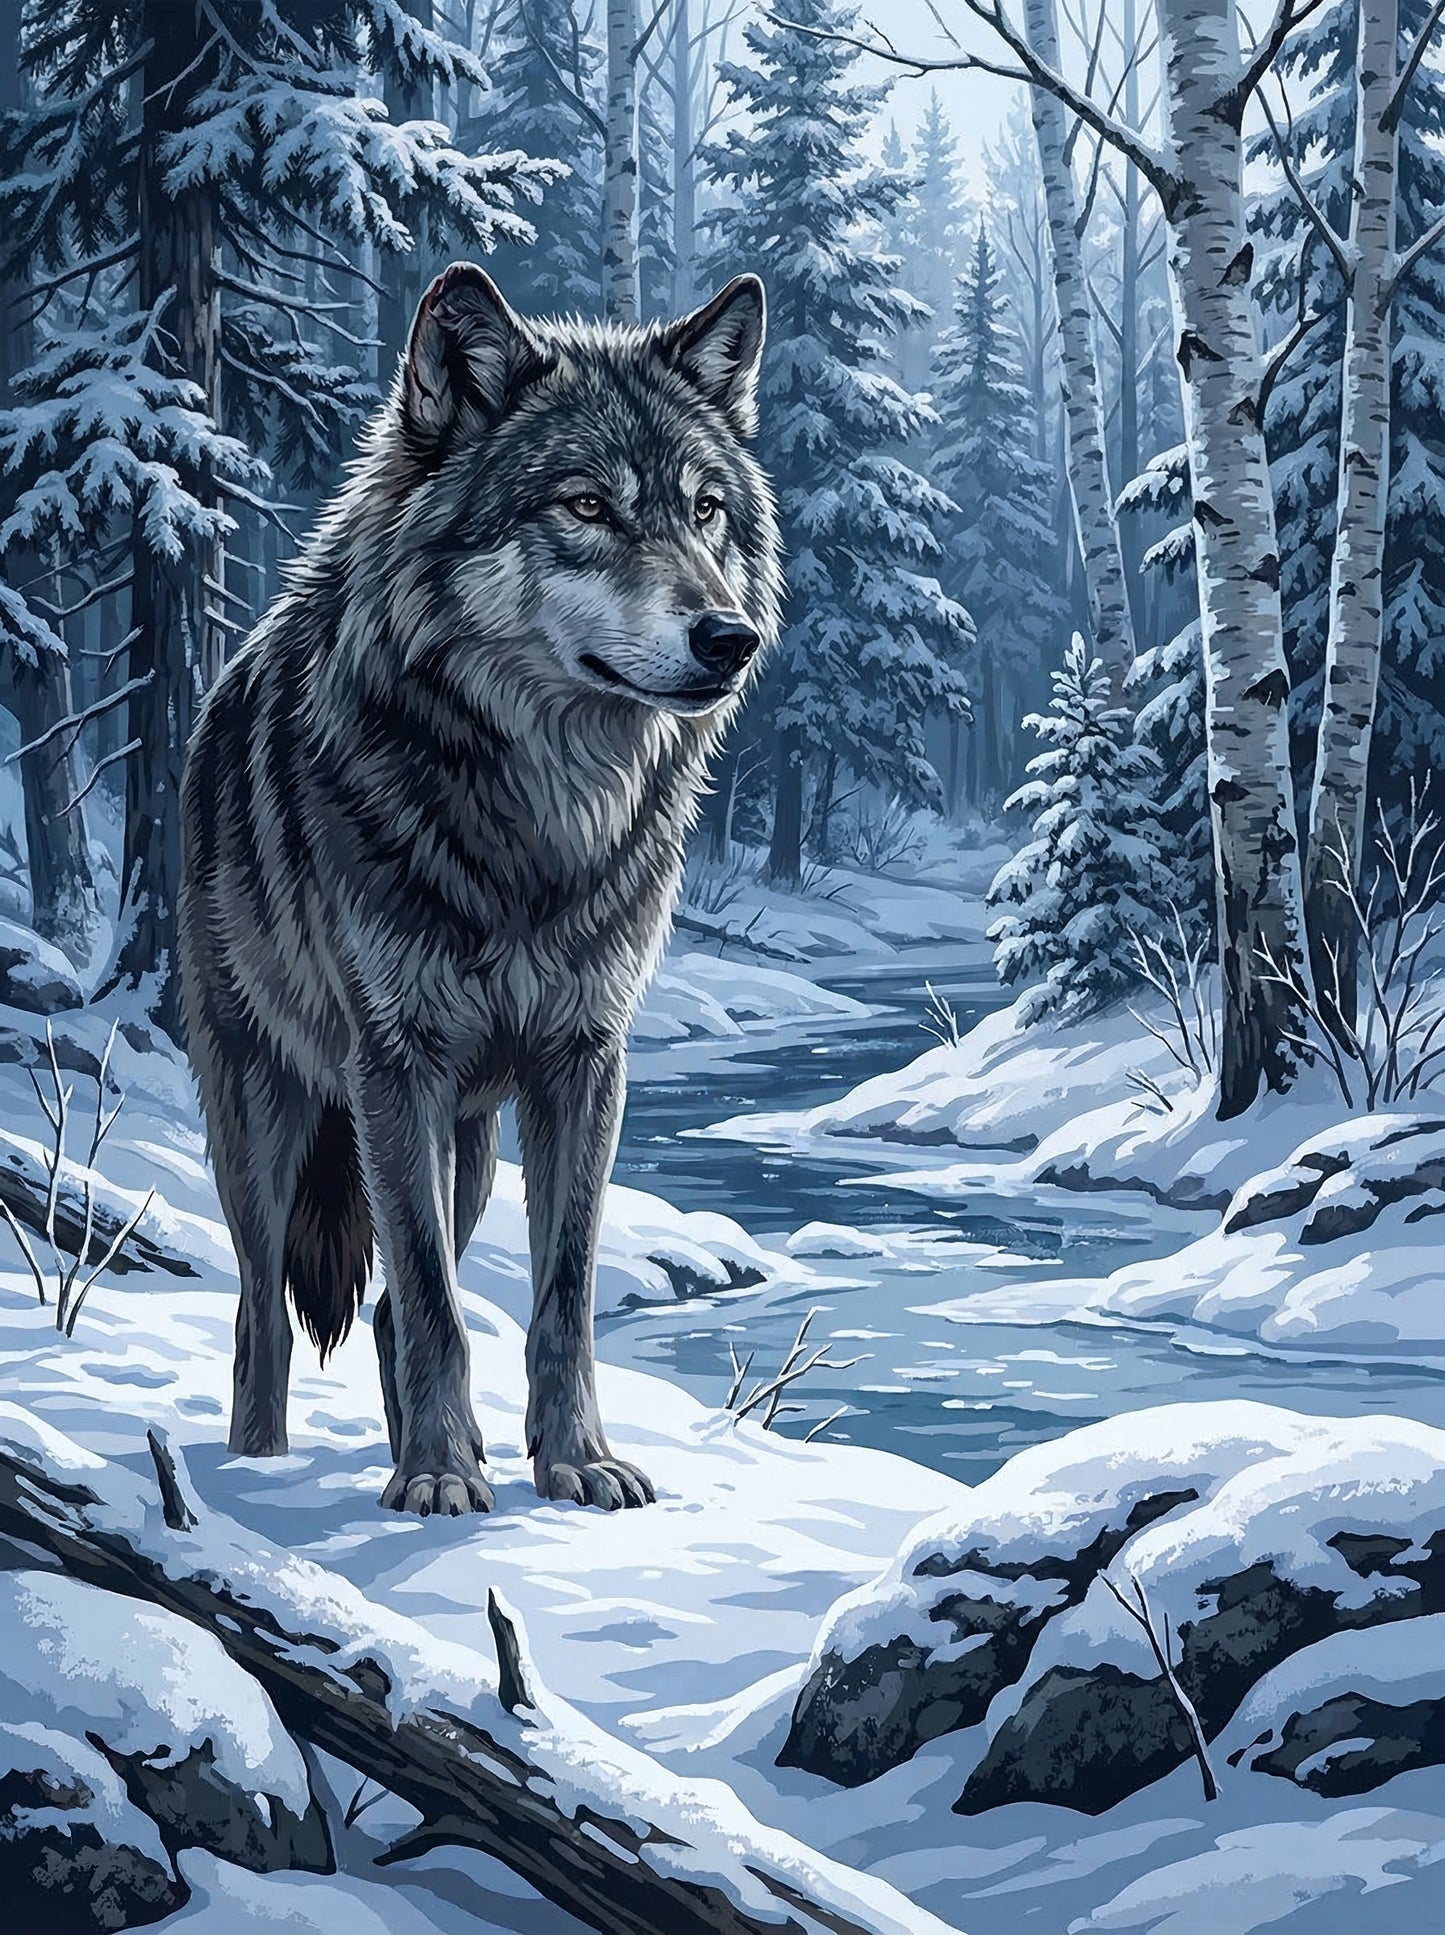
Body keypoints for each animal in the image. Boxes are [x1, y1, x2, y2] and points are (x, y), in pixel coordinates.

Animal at [177, 266, 781, 1516]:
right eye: (585, 507)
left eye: (705, 511)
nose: (730, 637)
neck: (536, 831)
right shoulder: (391, 1065)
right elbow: (431, 1299)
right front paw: (440, 1479)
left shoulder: (584, 1062)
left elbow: (557, 1293)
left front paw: (572, 1462)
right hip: (266, 1120)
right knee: (266, 1317)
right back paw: (257, 1470)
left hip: (465, 1147)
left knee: (392, 1308)